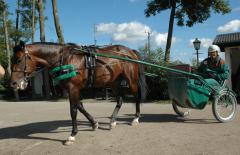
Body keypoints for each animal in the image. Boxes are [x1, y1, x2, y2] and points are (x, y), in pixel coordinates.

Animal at [10, 41, 147, 145]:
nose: (13, 84)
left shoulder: (73, 88)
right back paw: (112, 121)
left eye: (18, 60)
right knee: (119, 100)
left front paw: (72, 135)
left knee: (136, 96)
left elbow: (73, 111)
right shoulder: (74, 89)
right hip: (113, 82)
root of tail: (130, 51)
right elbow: (80, 107)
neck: (65, 59)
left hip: (131, 80)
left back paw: (135, 118)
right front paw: (94, 124)